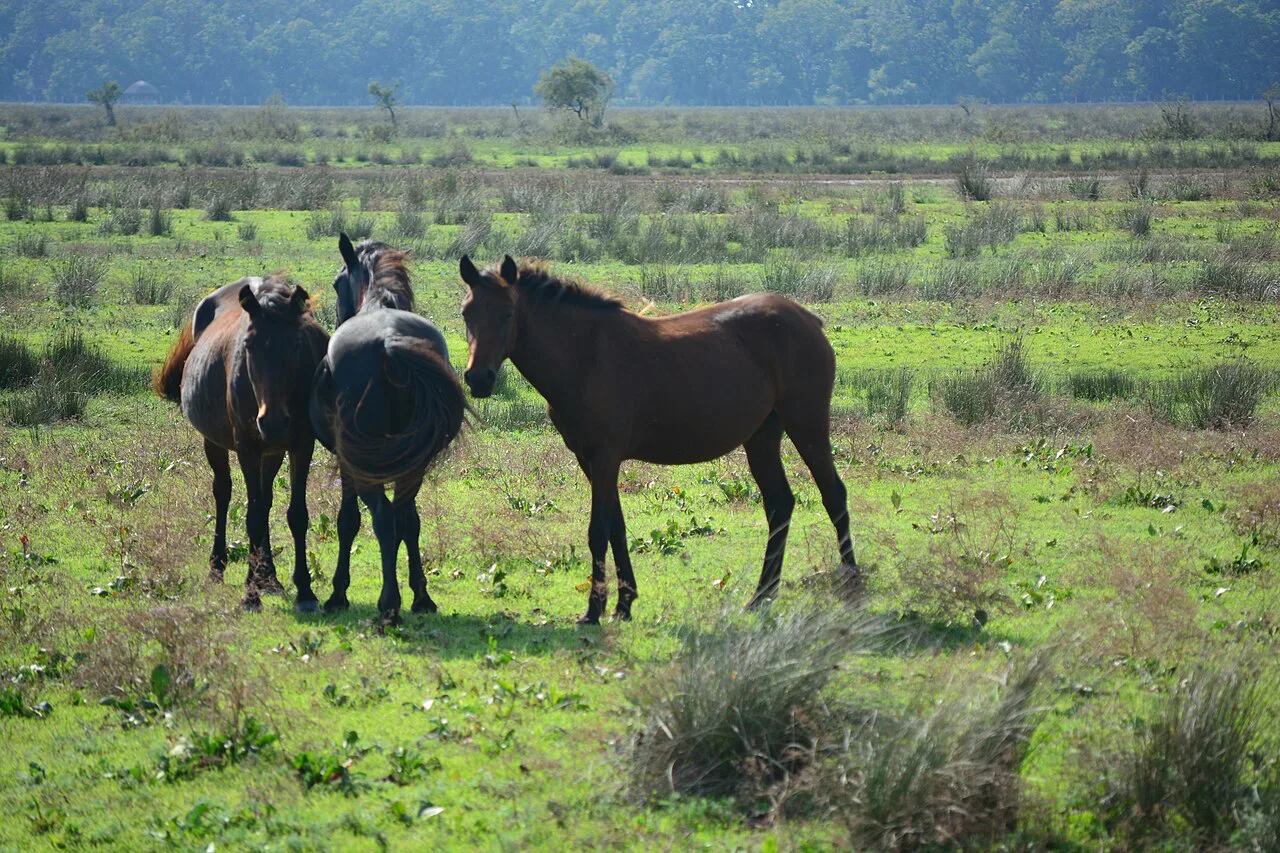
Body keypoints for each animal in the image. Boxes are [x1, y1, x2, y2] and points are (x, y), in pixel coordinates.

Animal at [154, 276, 329, 610]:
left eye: (296, 344)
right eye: (248, 345)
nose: (272, 422)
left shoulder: (301, 446)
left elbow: (295, 515)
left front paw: (304, 591)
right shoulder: (247, 448)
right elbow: (252, 518)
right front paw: (250, 594)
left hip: (272, 453)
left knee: (265, 500)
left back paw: (270, 578)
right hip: (215, 443)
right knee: (223, 494)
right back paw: (218, 568)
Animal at [309, 235, 467, 625]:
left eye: (336, 283)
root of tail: (389, 342)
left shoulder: (348, 465)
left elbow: (347, 521)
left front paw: (338, 592)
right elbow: (408, 522)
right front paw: (419, 593)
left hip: (366, 464)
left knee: (382, 517)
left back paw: (388, 604)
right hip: (413, 464)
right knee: (404, 517)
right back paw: (419, 597)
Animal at [458, 255, 859, 625]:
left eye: (507, 313)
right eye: (466, 313)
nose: (478, 379)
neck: (585, 355)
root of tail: (809, 320)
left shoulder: (605, 457)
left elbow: (598, 530)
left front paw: (594, 609)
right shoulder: (588, 459)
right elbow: (616, 528)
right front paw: (624, 603)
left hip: (807, 426)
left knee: (833, 495)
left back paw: (852, 584)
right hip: (762, 437)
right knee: (779, 504)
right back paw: (761, 595)